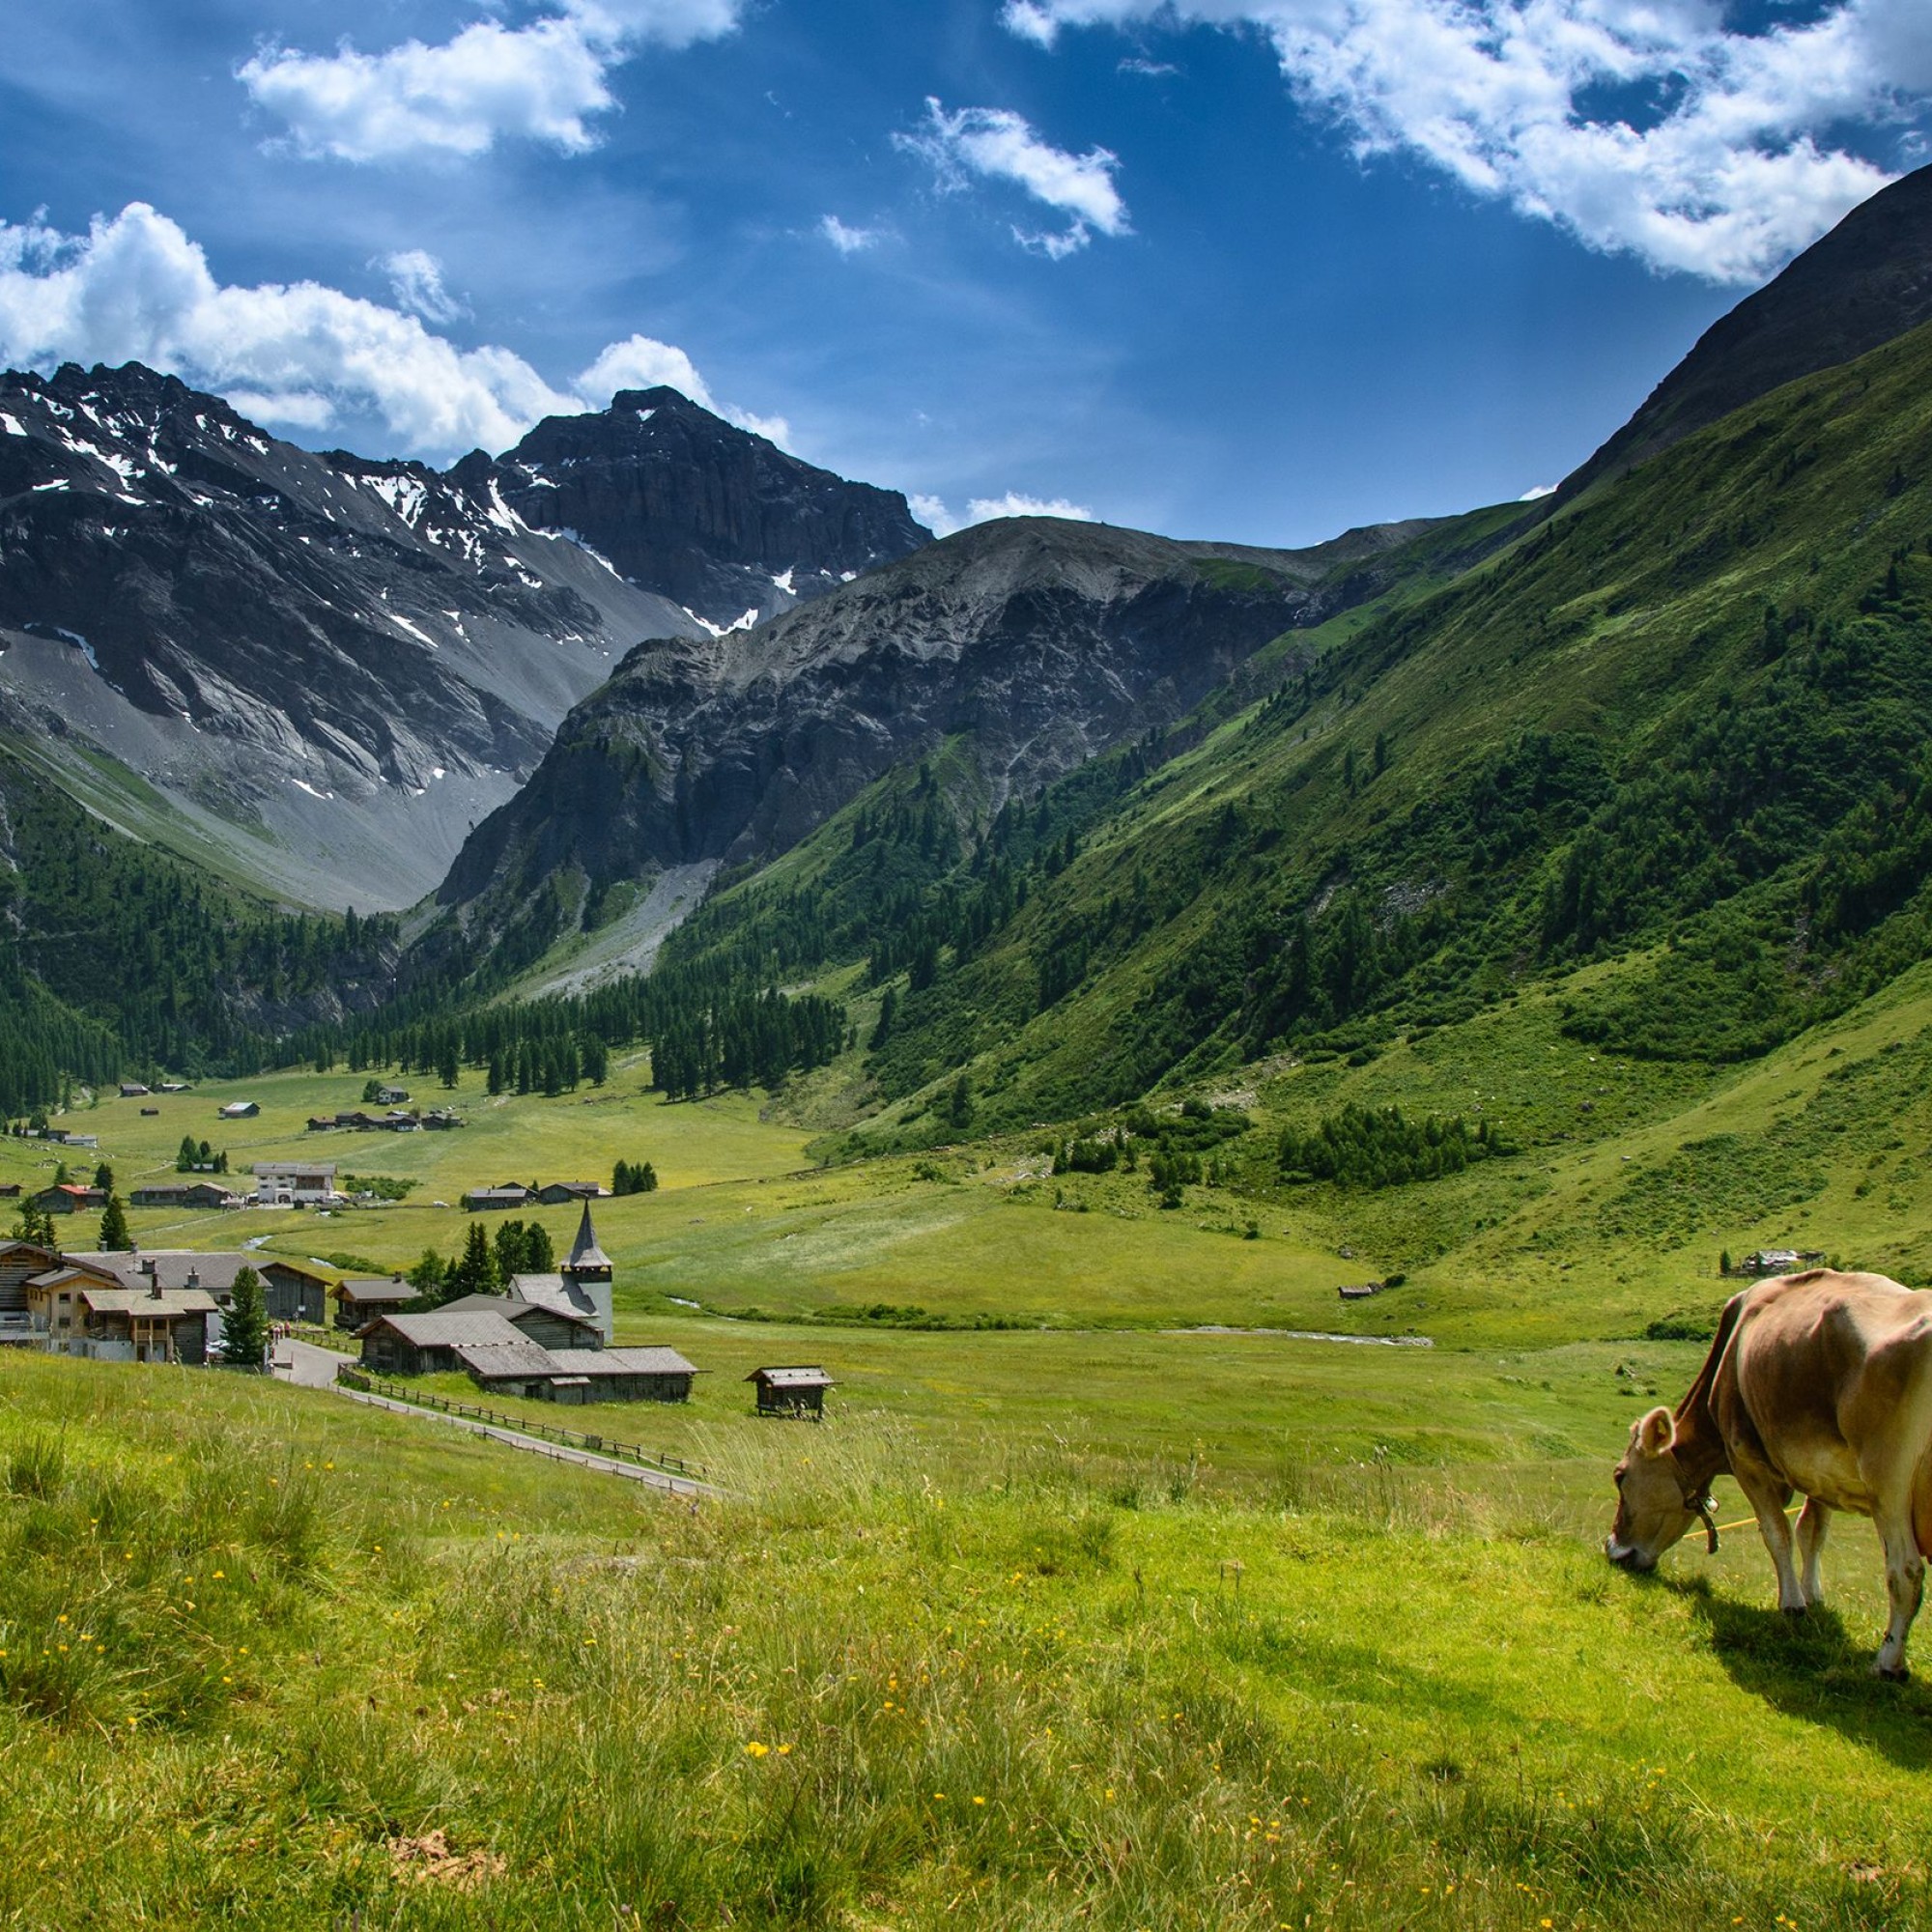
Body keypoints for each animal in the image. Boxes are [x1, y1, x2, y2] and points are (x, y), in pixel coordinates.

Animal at [1607, 1267, 1932, 1677]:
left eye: (1620, 1476)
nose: (1612, 1549)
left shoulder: (1746, 1459)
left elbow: (1777, 1533)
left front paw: (1792, 1603)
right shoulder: (1818, 1472)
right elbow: (1811, 1532)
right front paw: (1814, 1596)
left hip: (1887, 1484)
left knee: (1906, 1570)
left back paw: (1888, 1661)